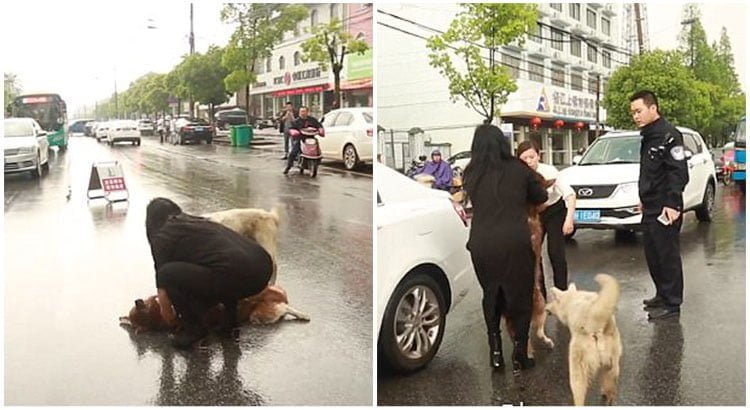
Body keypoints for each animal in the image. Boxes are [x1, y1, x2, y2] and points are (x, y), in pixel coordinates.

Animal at [548, 274, 624, 406]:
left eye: (554, 300)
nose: (546, 308)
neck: (572, 298)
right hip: (612, 366)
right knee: (610, 387)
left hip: (577, 373)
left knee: (579, 397)